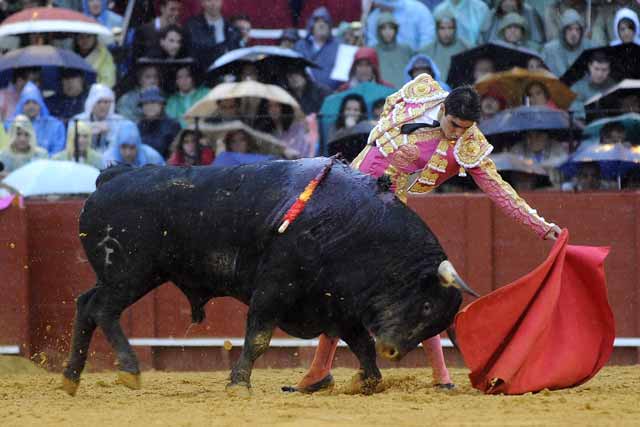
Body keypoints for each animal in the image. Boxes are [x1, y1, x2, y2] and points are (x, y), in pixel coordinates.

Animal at [62, 159, 464, 396]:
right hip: (129, 273)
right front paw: (239, 383)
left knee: (86, 305)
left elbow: (361, 344)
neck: (357, 227)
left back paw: (71, 378)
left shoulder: (340, 304)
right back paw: (129, 369)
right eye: (426, 305)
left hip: (131, 275)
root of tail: (111, 178)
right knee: (103, 310)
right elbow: (258, 339)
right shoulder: (274, 289)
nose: (393, 351)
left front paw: (366, 381)